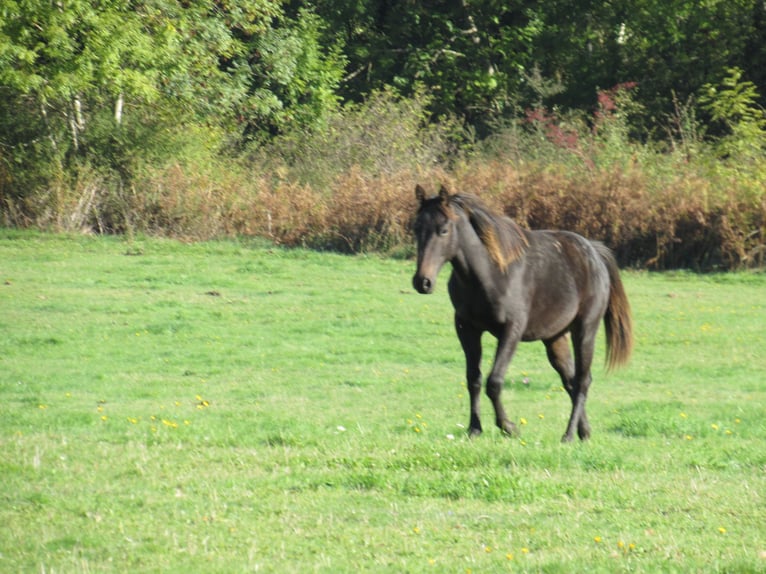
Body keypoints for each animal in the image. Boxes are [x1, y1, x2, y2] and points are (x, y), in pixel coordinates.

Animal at [412, 185, 633, 442]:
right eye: (416, 228)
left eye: (444, 230)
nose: (422, 282)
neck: (490, 273)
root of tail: (594, 253)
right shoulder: (466, 328)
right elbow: (473, 379)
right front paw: (474, 428)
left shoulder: (512, 330)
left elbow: (494, 381)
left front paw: (509, 427)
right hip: (555, 337)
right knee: (570, 380)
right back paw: (584, 431)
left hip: (585, 330)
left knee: (582, 381)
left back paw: (568, 435)